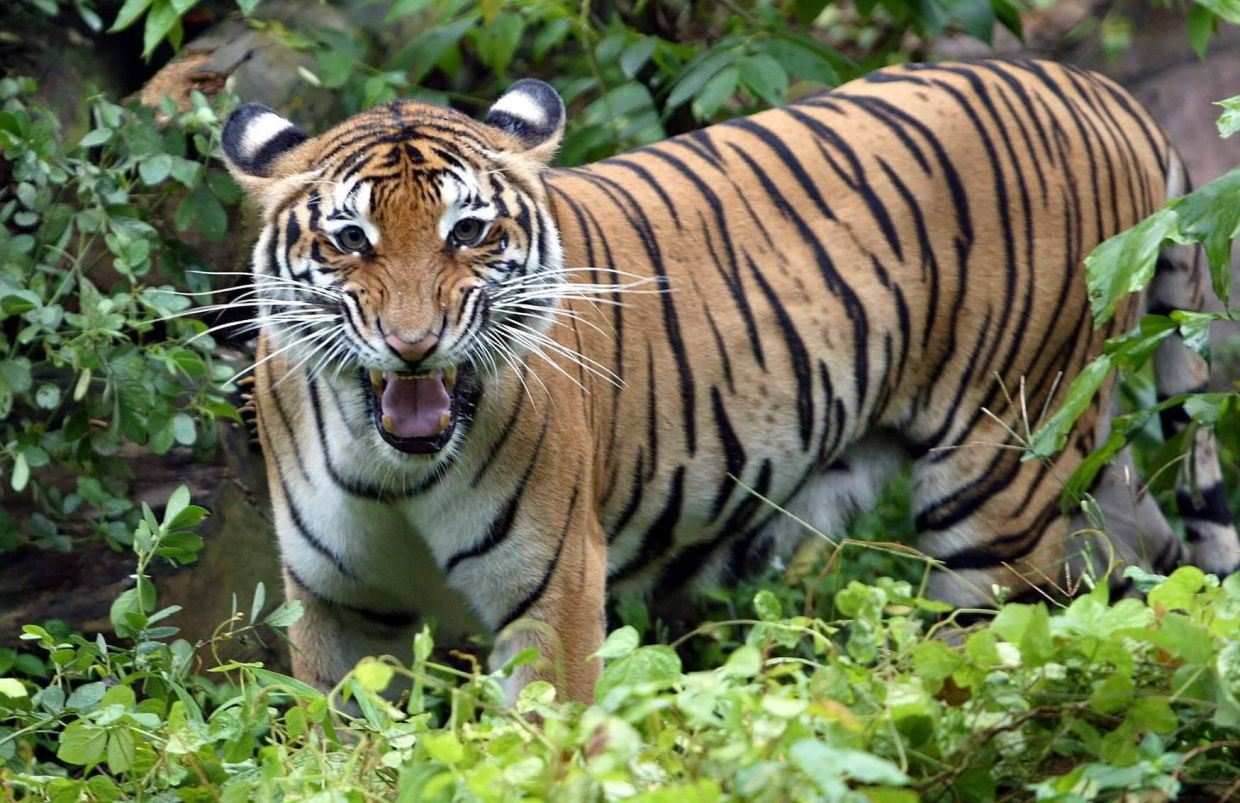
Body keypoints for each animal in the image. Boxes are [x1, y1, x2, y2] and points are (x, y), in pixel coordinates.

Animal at [220, 59, 1240, 703]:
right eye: (349, 238)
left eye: (467, 232)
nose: (413, 344)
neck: (391, 466)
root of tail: (1111, 95)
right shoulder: (339, 608)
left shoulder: (552, 588)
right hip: (1083, 450)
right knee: (1142, 561)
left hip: (1004, 472)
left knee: (1009, 639)